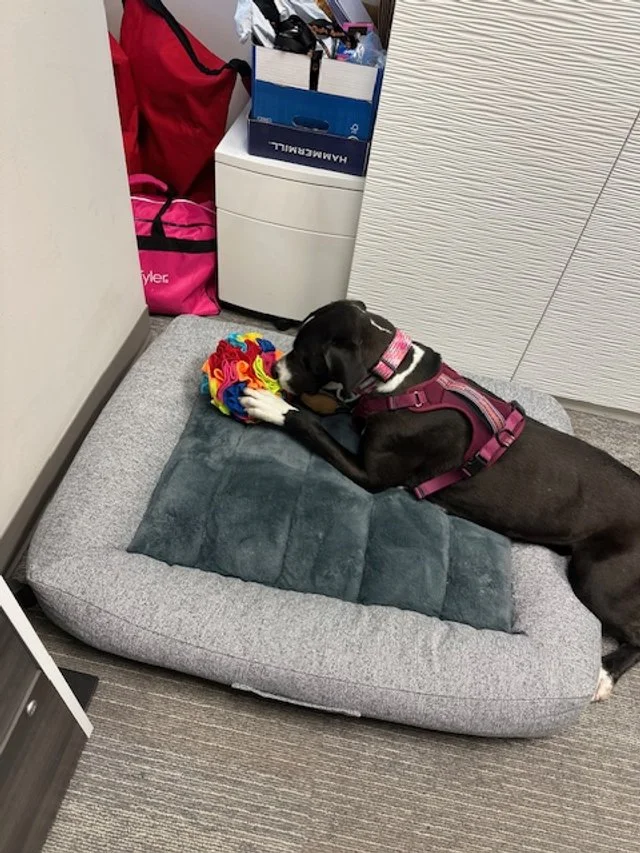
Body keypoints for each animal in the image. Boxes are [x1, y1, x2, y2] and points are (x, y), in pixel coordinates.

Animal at [241, 300, 640, 699]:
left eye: (305, 355)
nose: (274, 369)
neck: (395, 378)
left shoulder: (369, 475)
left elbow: (311, 426)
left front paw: (270, 405)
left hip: (596, 576)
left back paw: (604, 674)